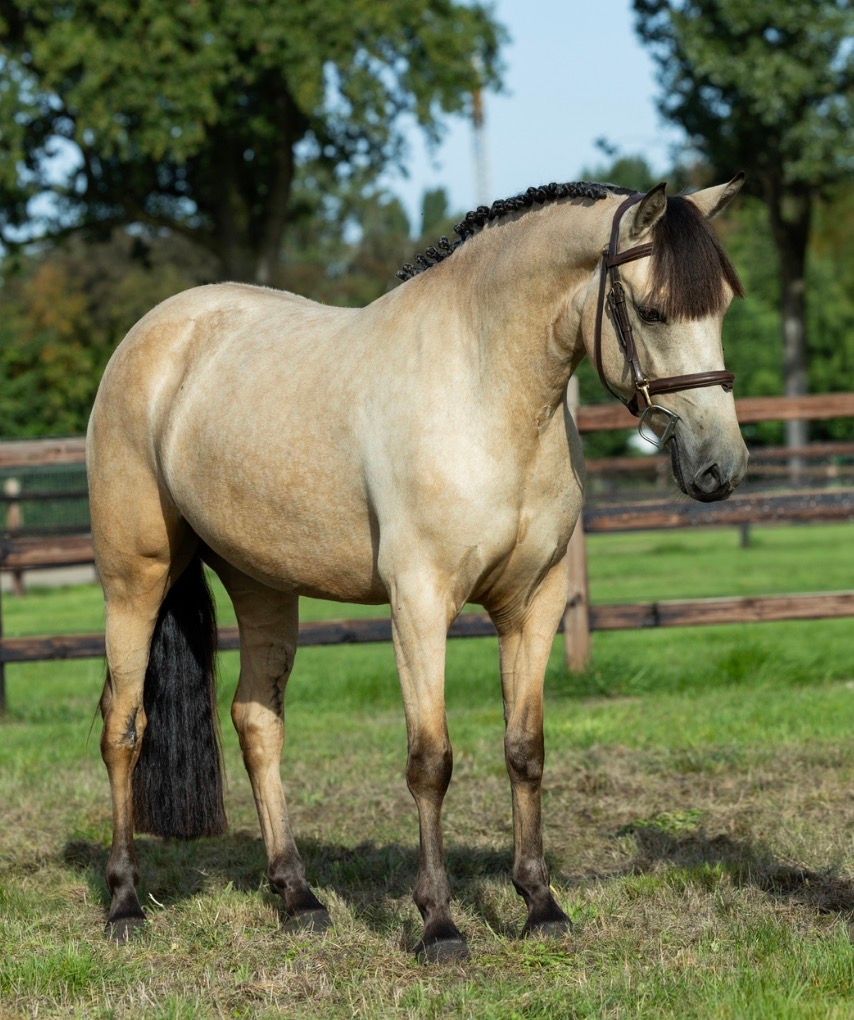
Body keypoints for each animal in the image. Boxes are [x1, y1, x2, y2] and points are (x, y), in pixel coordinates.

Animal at [87, 176, 748, 961]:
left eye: (723, 306)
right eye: (650, 310)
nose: (720, 467)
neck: (483, 390)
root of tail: (154, 333)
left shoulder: (535, 604)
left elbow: (525, 749)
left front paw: (541, 905)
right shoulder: (421, 604)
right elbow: (430, 761)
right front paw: (438, 924)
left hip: (263, 584)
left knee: (256, 720)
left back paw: (297, 896)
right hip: (135, 578)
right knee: (124, 727)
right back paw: (125, 904)